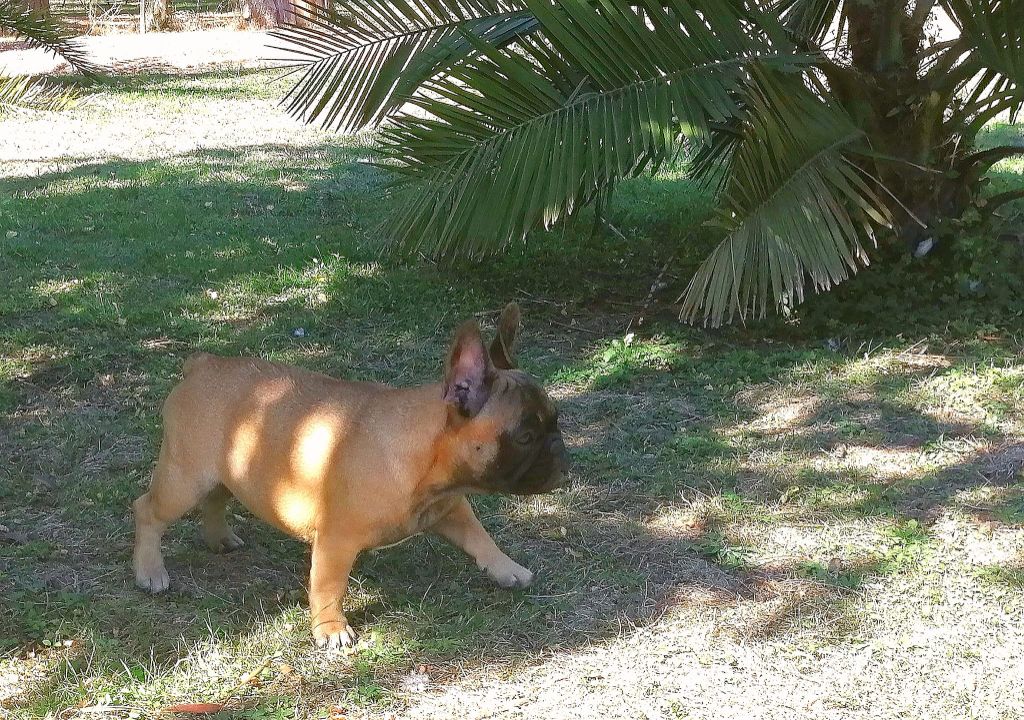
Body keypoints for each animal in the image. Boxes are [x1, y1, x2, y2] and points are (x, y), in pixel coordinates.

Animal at [130, 301, 569, 651]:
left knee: (216, 499)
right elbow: (328, 585)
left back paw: (219, 538)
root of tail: (203, 364)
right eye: (525, 436)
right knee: (148, 511)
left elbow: (481, 539)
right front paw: (330, 629)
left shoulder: (450, 508)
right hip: (183, 479)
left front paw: (507, 569)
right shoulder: (336, 541)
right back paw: (150, 571)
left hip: (228, 469)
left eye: (556, 422)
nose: (560, 452)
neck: (426, 462)